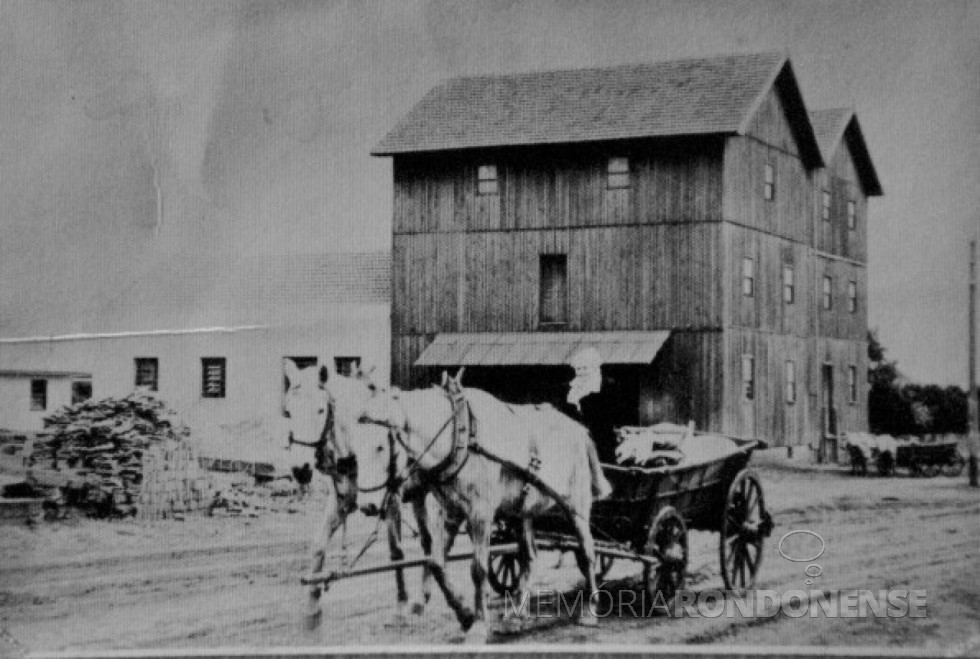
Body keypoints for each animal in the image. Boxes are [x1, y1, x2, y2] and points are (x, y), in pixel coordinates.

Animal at [356, 372, 608, 644]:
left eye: (381, 447)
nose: (367, 505)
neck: (461, 436)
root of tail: (580, 430)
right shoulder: (450, 512)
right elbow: (436, 563)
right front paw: (464, 615)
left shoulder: (480, 515)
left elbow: (478, 569)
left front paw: (477, 624)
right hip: (522, 512)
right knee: (529, 557)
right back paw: (515, 616)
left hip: (576, 506)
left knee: (587, 551)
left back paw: (589, 610)